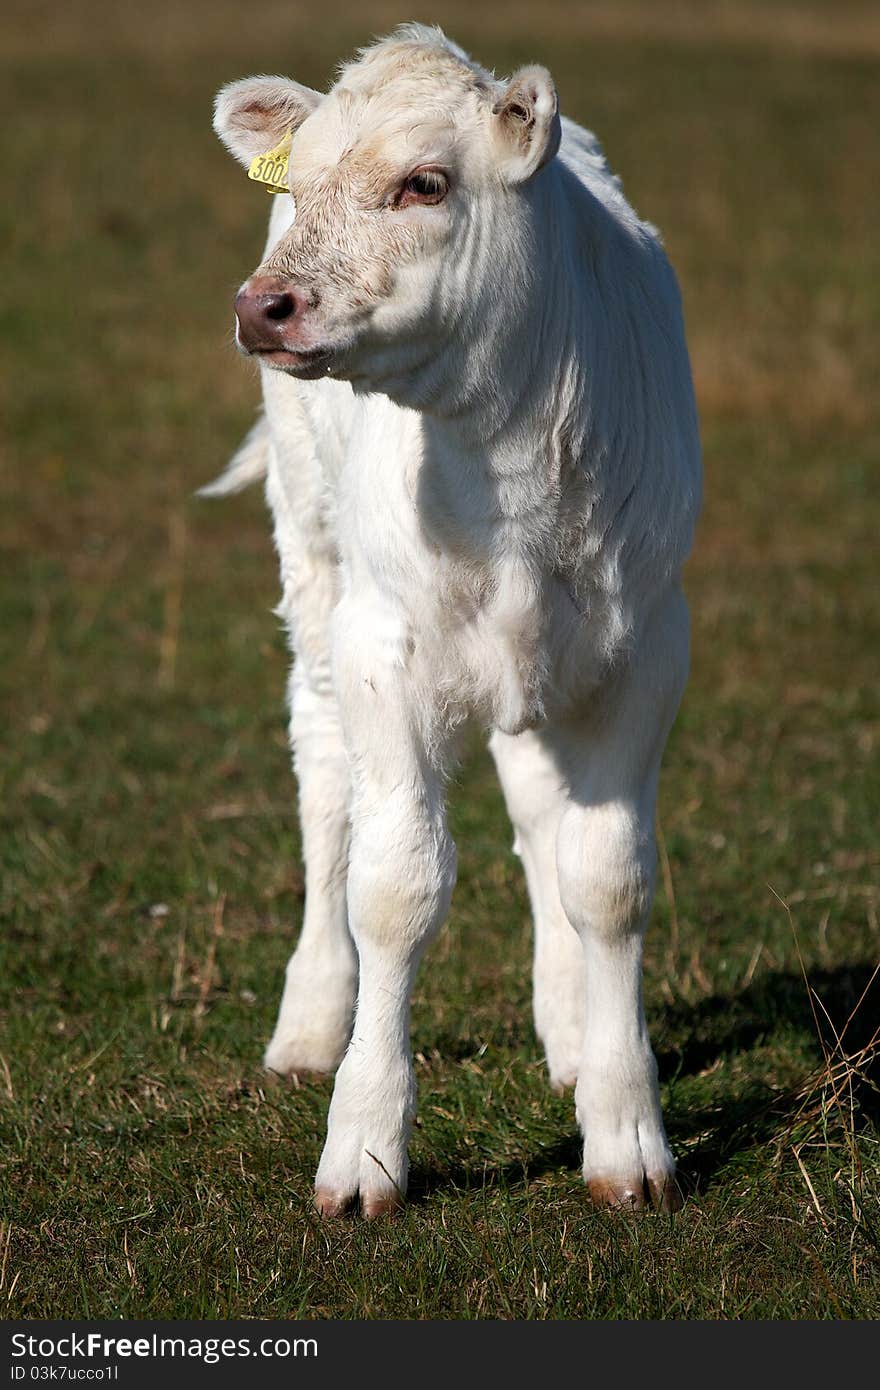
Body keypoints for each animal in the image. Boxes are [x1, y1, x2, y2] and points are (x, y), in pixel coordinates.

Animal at [205, 21, 700, 1217]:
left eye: (424, 182)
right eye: (304, 182)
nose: (261, 307)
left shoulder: (648, 644)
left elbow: (606, 877)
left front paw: (625, 1129)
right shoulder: (384, 647)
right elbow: (396, 886)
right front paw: (364, 1147)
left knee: (536, 805)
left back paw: (565, 1024)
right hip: (314, 558)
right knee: (325, 776)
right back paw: (310, 1021)